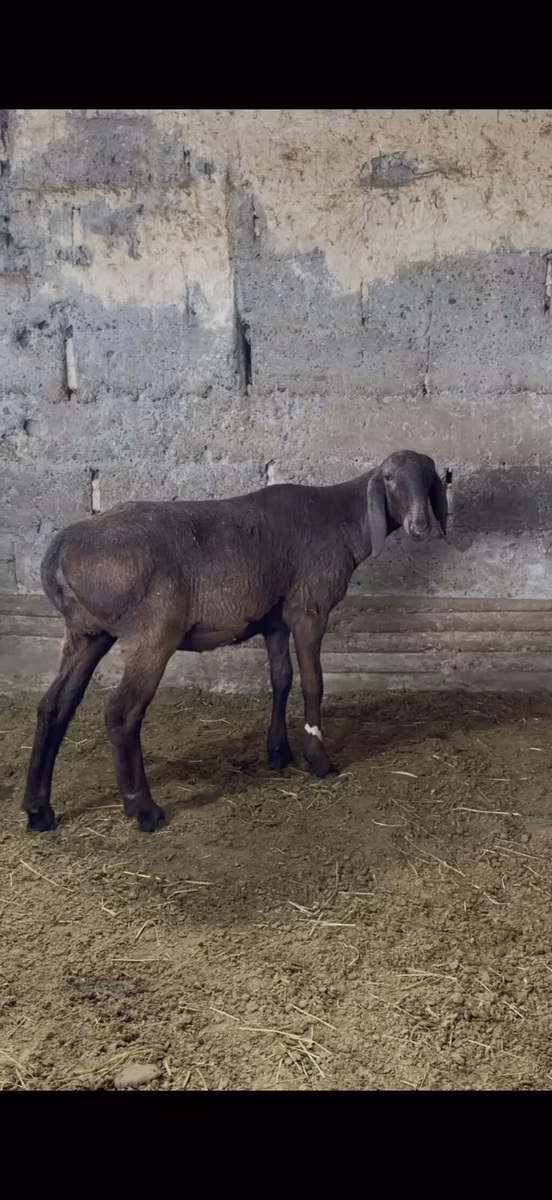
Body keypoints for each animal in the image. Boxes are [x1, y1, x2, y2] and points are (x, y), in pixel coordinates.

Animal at [22, 449, 447, 833]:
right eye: (389, 479)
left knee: (54, 706)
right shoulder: (309, 609)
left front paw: (278, 752)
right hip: (152, 632)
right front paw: (319, 761)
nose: (420, 525)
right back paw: (143, 810)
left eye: (429, 479)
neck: (340, 518)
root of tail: (58, 552)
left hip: (86, 633)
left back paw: (38, 811)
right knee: (121, 713)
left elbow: (281, 678)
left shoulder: (274, 619)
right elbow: (313, 683)